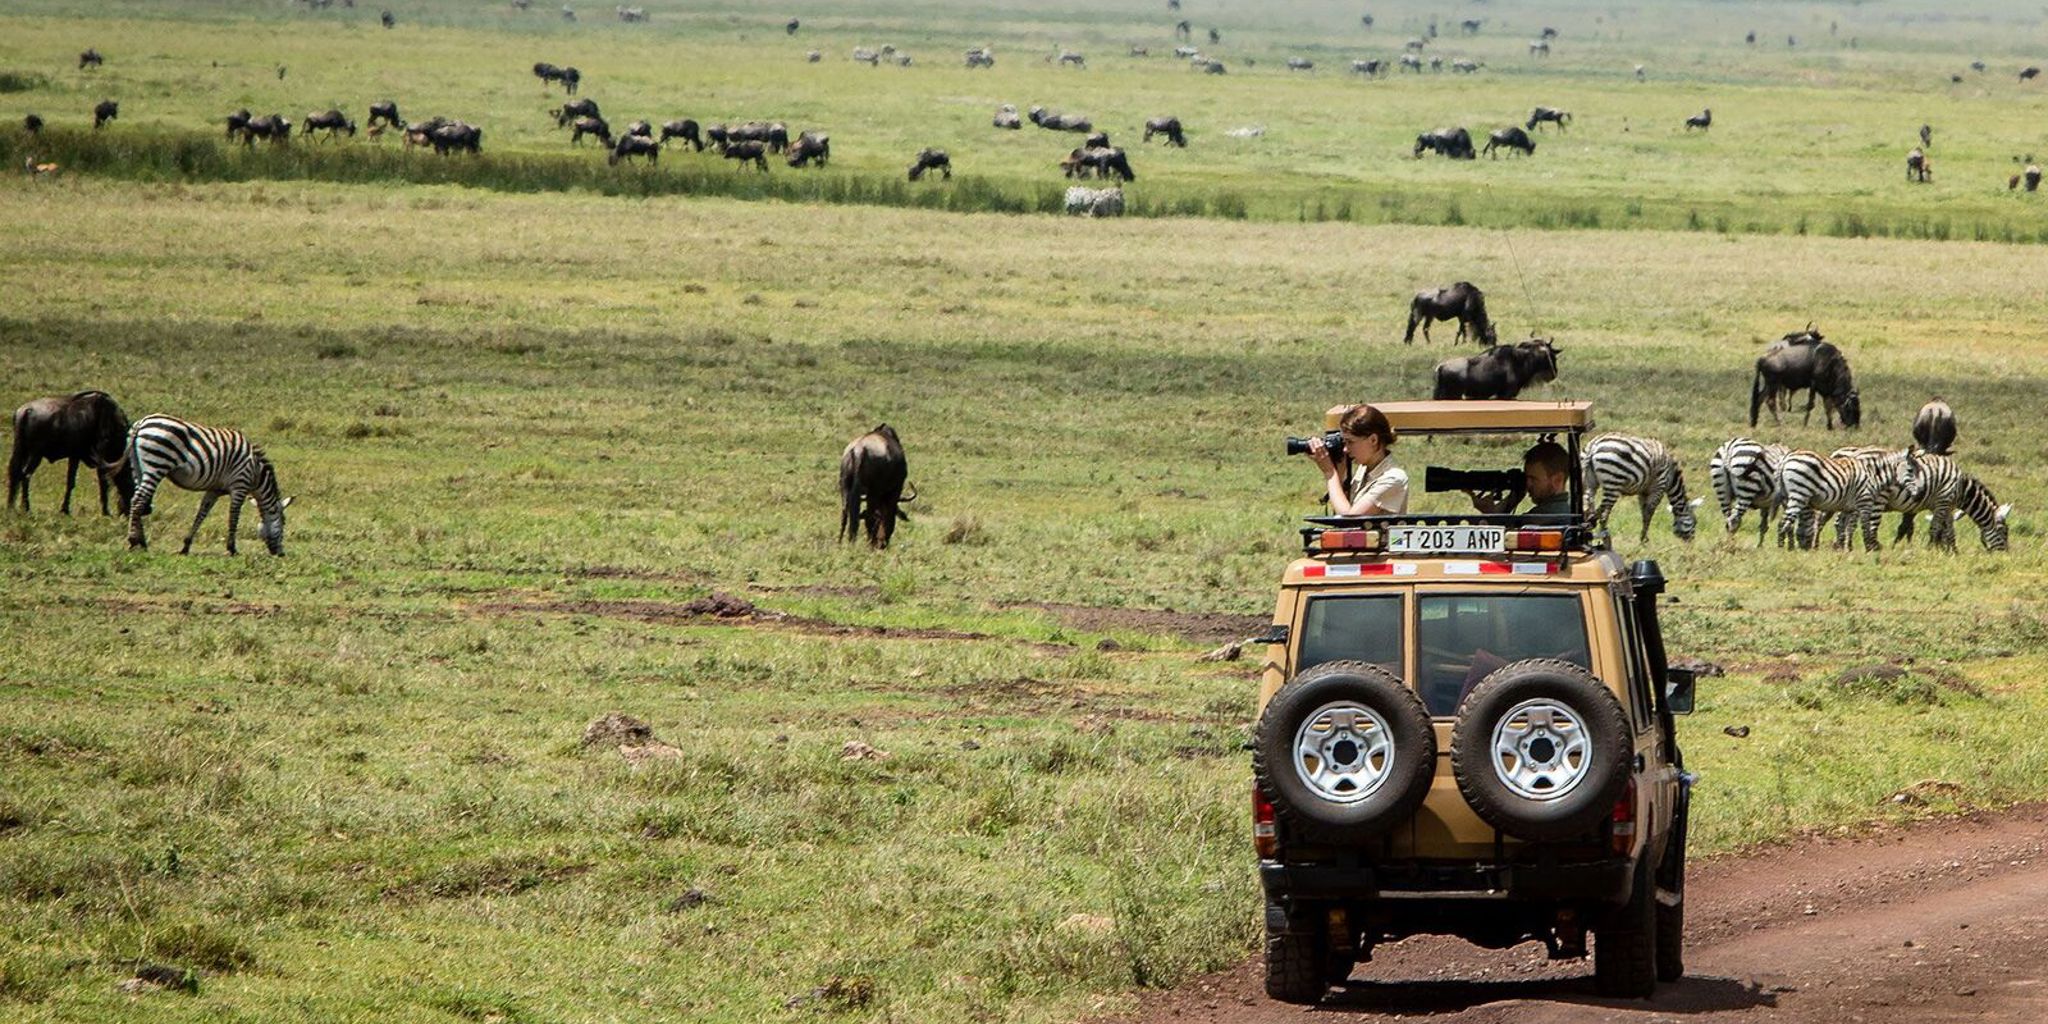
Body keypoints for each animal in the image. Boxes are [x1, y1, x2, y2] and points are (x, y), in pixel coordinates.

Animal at [123, 415, 292, 555]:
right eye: (284, 523)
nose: (281, 554)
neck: (256, 473)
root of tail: (141, 422)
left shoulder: (214, 489)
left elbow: (202, 514)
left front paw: (186, 546)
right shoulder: (240, 485)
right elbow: (234, 515)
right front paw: (232, 548)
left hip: (138, 467)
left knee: (137, 499)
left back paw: (142, 543)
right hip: (157, 464)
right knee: (138, 500)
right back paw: (133, 541)